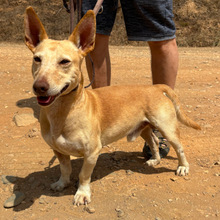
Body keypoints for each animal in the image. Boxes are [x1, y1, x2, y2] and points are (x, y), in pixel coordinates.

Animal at [24, 7, 201, 206]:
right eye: (37, 59)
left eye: (65, 62)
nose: (39, 87)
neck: (63, 111)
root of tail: (155, 87)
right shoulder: (57, 150)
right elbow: (65, 169)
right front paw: (62, 183)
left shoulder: (92, 153)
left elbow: (84, 175)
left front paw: (82, 194)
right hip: (143, 128)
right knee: (154, 142)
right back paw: (155, 160)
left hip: (167, 128)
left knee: (179, 147)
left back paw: (183, 167)